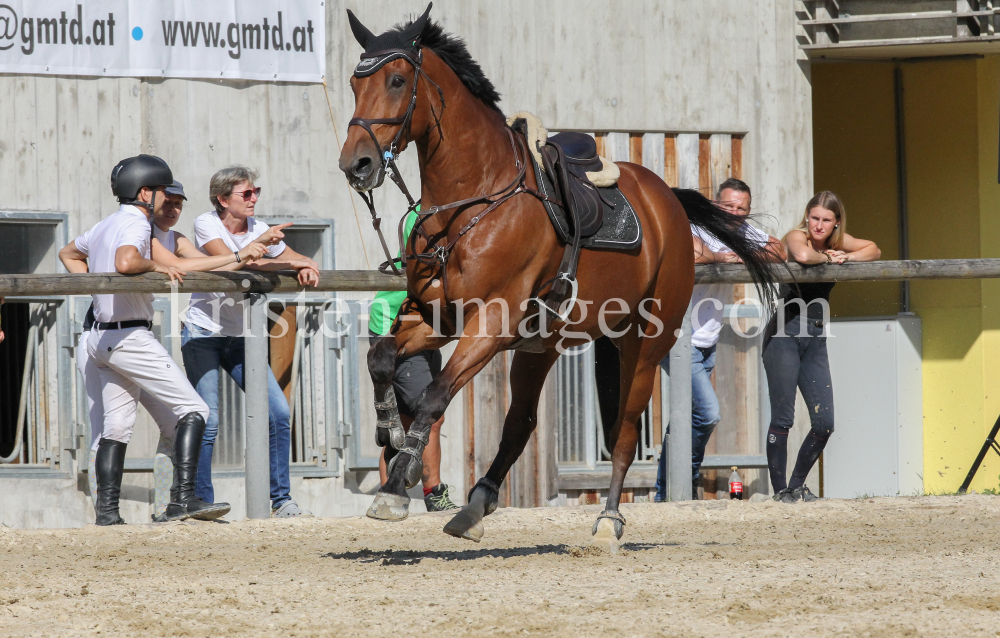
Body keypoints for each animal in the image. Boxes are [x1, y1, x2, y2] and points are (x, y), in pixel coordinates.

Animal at [340, 3, 776, 552]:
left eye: (397, 80)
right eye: (354, 85)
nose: (356, 164)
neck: (473, 200)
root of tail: (669, 202)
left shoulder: (491, 323)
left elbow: (435, 396)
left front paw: (397, 484)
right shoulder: (438, 317)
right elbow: (380, 357)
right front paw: (389, 435)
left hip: (642, 344)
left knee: (624, 432)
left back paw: (608, 521)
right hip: (541, 346)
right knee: (520, 424)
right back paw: (475, 507)